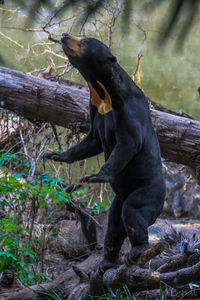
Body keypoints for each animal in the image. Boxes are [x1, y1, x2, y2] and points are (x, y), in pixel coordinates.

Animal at [44, 33, 166, 272]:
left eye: (84, 41)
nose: (64, 35)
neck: (102, 92)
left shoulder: (128, 112)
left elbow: (127, 145)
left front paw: (94, 176)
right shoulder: (95, 111)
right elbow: (92, 142)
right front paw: (54, 154)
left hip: (149, 191)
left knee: (133, 212)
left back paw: (137, 251)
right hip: (117, 199)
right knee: (114, 226)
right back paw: (106, 263)